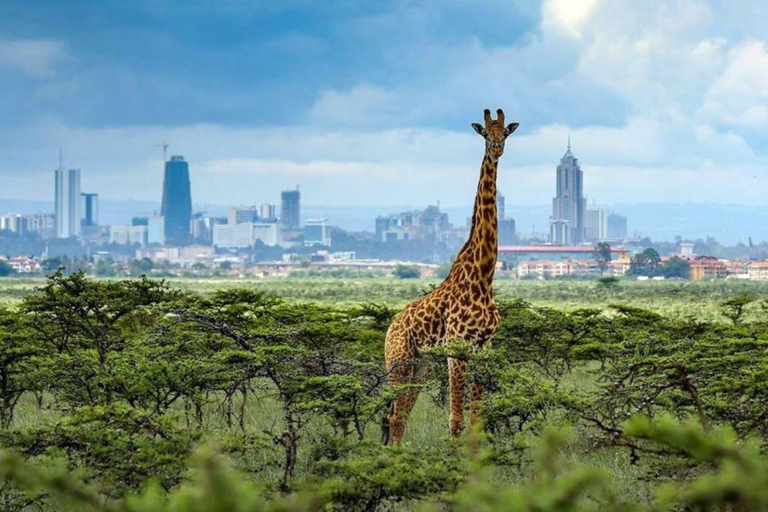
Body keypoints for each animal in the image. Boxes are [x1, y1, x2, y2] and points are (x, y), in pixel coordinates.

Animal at [382, 108, 520, 444]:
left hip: (422, 365)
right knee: (393, 415)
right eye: (485, 133)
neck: (483, 276)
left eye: (505, 133)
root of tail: (390, 328)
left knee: (401, 415)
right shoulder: (457, 349)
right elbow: (456, 421)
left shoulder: (484, 349)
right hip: (399, 361)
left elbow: (476, 420)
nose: (497, 149)